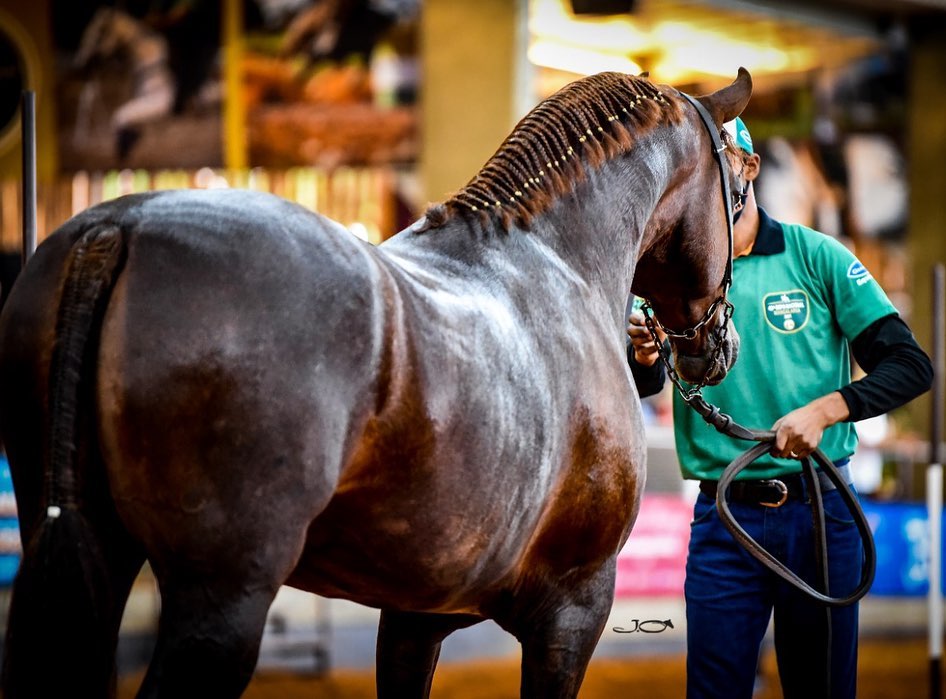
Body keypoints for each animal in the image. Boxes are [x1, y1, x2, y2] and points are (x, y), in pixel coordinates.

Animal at [1, 68, 752, 696]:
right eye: (742, 186)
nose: (721, 346)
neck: (555, 261)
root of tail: (114, 230)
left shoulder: (416, 614)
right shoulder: (573, 610)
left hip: (85, 555)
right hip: (221, 599)